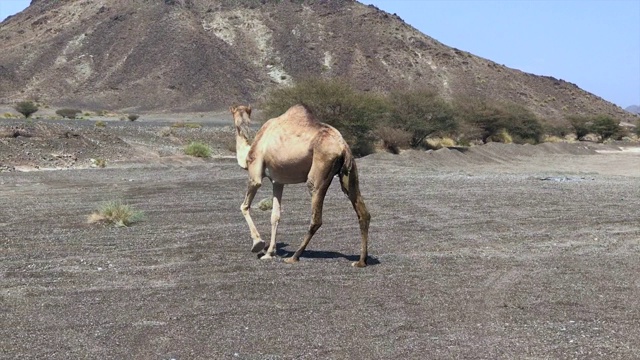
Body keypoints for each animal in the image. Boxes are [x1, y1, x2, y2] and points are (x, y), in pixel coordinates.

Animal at [229, 104, 370, 268]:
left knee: (316, 216)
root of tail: (343, 147)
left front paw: (258, 244)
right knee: (362, 211)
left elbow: (244, 206)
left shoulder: (255, 174)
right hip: (349, 172)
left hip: (320, 169)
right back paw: (361, 261)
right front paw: (270, 252)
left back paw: (294, 256)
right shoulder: (278, 181)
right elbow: (275, 215)